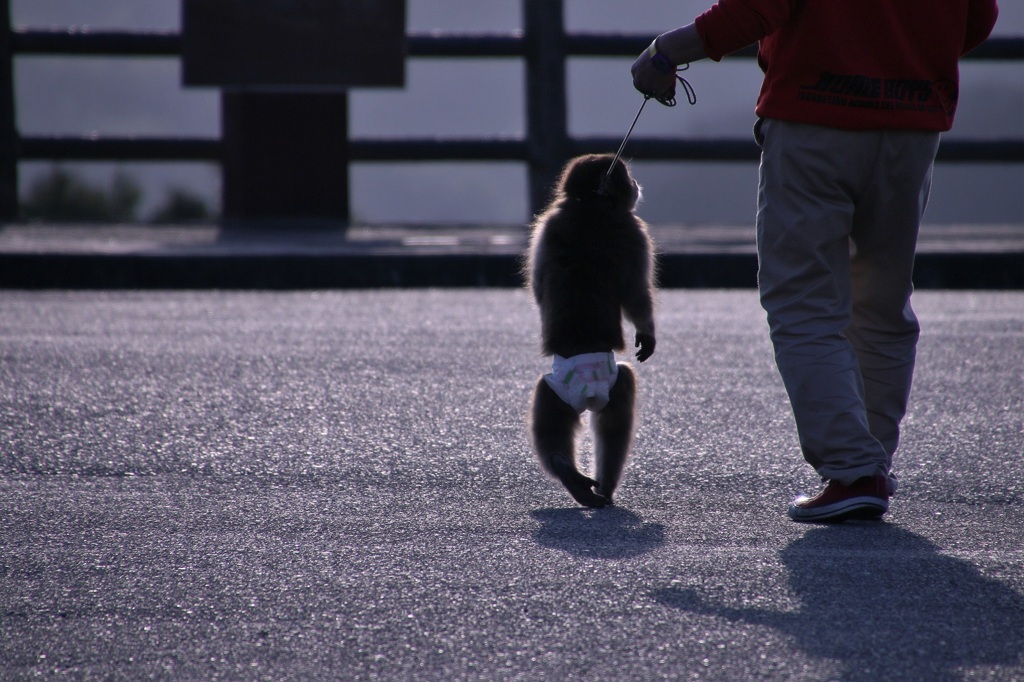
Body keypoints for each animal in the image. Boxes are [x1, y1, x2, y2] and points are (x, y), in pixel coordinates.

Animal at [524, 152, 659, 503]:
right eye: (628, 179)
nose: (636, 183)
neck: (591, 206)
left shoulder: (547, 225)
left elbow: (538, 285)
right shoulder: (635, 232)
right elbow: (637, 294)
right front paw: (648, 334)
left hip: (553, 388)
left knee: (552, 418)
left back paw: (568, 473)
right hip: (608, 382)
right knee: (619, 411)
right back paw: (606, 488)